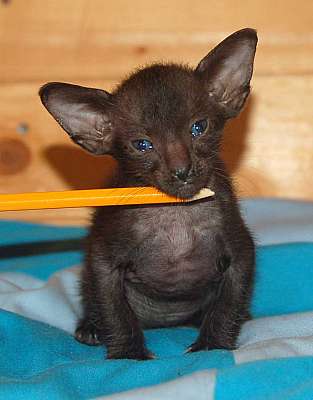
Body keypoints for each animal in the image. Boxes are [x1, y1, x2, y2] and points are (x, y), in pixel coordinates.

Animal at [39, 27, 256, 360]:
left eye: (199, 127)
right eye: (142, 145)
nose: (182, 170)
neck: (176, 212)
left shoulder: (241, 252)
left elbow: (228, 305)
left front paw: (213, 346)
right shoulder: (103, 261)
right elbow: (115, 312)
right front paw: (128, 354)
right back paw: (90, 328)